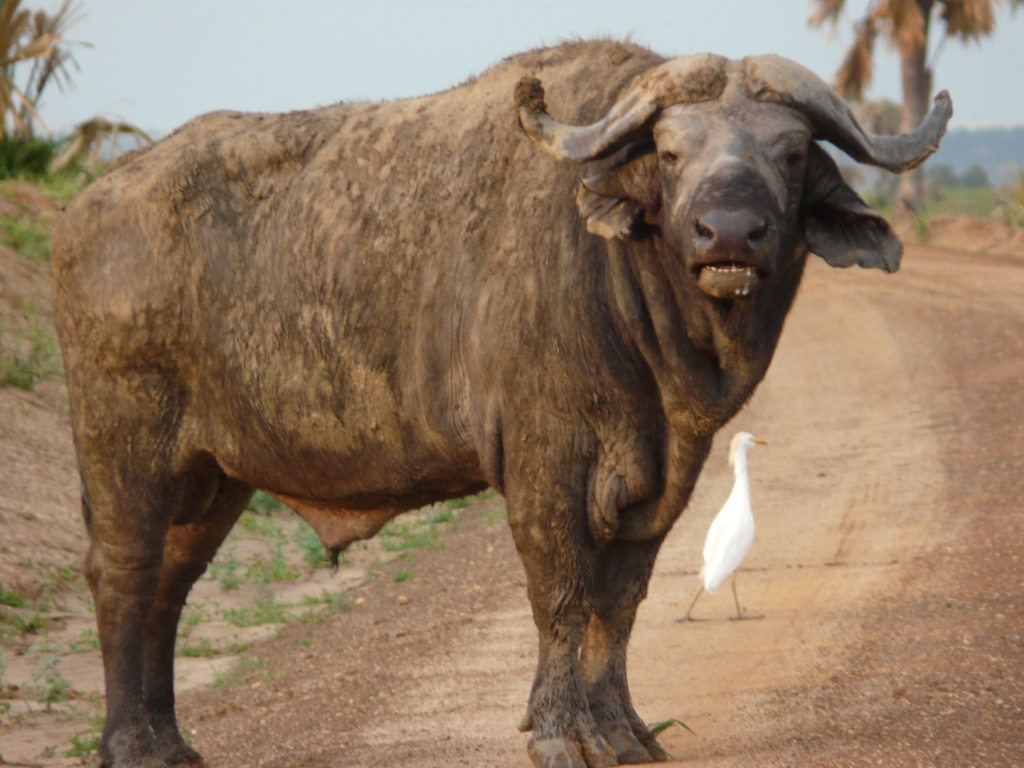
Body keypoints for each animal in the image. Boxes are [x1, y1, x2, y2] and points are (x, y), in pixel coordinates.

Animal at [51, 40, 946, 768]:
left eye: (791, 152)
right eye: (668, 150)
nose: (728, 233)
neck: (639, 311)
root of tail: (87, 208)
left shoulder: (662, 477)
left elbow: (620, 600)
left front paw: (621, 729)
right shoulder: (546, 460)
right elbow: (563, 591)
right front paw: (560, 732)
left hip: (211, 477)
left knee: (170, 588)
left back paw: (169, 740)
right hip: (125, 443)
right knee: (123, 576)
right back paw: (129, 745)